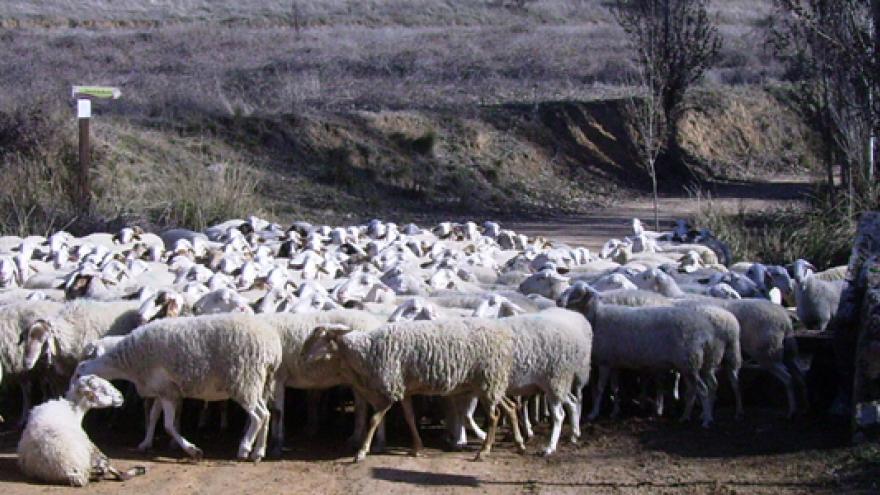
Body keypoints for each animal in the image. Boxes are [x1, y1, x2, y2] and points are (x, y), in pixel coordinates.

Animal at [17, 376, 146, 488]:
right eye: (101, 389)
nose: (121, 397)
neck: (74, 410)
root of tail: (73, 473)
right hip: (91, 449)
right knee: (117, 474)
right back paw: (138, 470)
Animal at [76, 314, 284, 462]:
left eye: (79, 372)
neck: (129, 364)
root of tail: (272, 347)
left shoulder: (168, 392)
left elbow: (168, 425)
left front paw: (193, 450)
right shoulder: (161, 390)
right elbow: (153, 417)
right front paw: (145, 443)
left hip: (244, 381)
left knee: (258, 416)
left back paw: (244, 449)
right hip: (257, 384)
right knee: (266, 414)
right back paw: (258, 452)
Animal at [304, 320, 524, 464]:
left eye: (318, 338)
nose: (302, 357)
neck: (366, 352)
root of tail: (505, 340)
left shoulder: (390, 389)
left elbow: (374, 420)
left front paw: (361, 452)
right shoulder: (404, 389)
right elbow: (409, 417)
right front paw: (417, 448)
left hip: (488, 382)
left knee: (495, 415)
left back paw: (484, 451)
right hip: (491, 384)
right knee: (511, 407)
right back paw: (519, 444)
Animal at [556, 280, 744, 428]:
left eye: (579, 292)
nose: (558, 300)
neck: (596, 317)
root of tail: (706, 331)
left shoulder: (605, 362)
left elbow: (601, 389)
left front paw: (594, 413)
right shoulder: (614, 362)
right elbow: (615, 388)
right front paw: (615, 412)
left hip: (691, 363)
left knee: (704, 390)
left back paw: (706, 420)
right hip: (698, 364)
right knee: (704, 387)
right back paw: (688, 416)